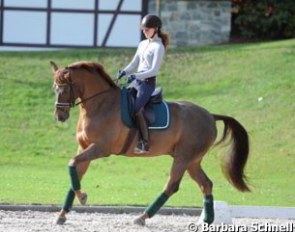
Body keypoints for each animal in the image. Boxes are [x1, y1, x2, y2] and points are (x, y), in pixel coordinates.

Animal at [50, 60, 250, 226]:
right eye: (54, 88)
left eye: (64, 89)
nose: (60, 116)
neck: (100, 104)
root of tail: (210, 115)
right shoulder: (84, 147)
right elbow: (74, 173)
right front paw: (62, 214)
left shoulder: (100, 149)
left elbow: (72, 163)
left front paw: (82, 197)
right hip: (193, 161)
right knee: (206, 184)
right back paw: (207, 220)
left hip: (184, 158)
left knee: (171, 186)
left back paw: (142, 217)